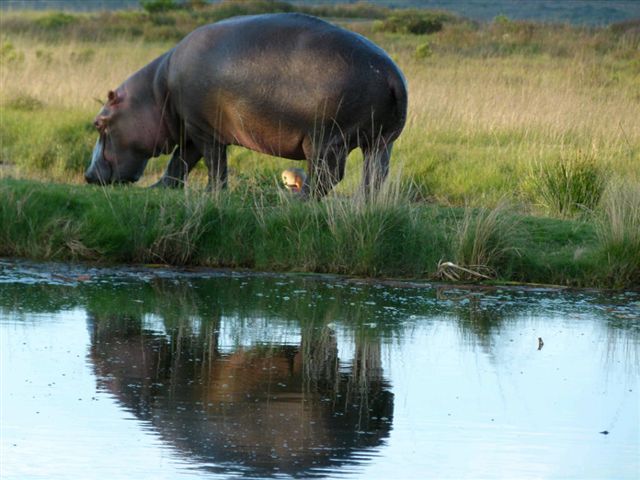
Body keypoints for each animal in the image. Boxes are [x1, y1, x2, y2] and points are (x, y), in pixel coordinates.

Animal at [85, 12, 408, 197]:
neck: (155, 92)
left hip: (326, 140)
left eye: (99, 123)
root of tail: (392, 75)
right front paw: (159, 188)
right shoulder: (191, 128)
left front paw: (213, 194)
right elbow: (180, 162)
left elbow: (212, 163)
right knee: (374, 175)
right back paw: (364, 203)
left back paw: (295, 200)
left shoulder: (203, 129)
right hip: (381, 141)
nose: (88, 175)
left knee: (327, 176)